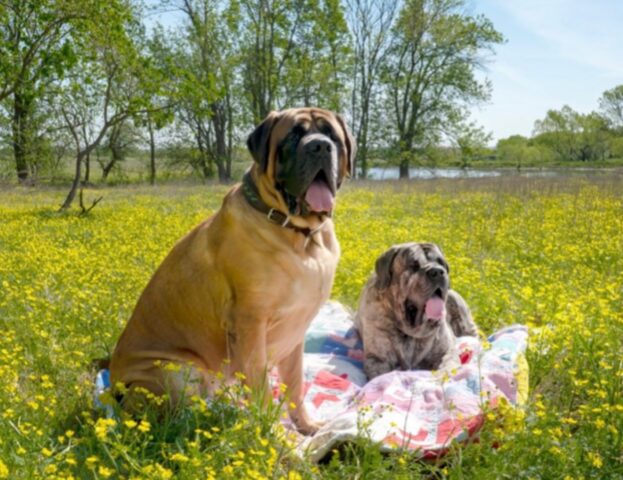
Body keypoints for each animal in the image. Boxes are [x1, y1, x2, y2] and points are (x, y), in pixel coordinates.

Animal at [111, 109, 356, 436]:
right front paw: (272, 435)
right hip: (177, 371)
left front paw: (305, 425)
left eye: (331, 136)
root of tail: (113, 389)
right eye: (293, 136)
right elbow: (261, 387)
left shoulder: (295, 334)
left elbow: (294, 385)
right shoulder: (250, 325)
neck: (299, 234)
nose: (319, 146)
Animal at [356, 244, 478, 378]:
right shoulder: (377, 358)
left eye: (441, 263)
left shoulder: (445, 351)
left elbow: (448, 365)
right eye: (414, 266)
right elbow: (381, 374)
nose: (438, 272)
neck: (411, 332)